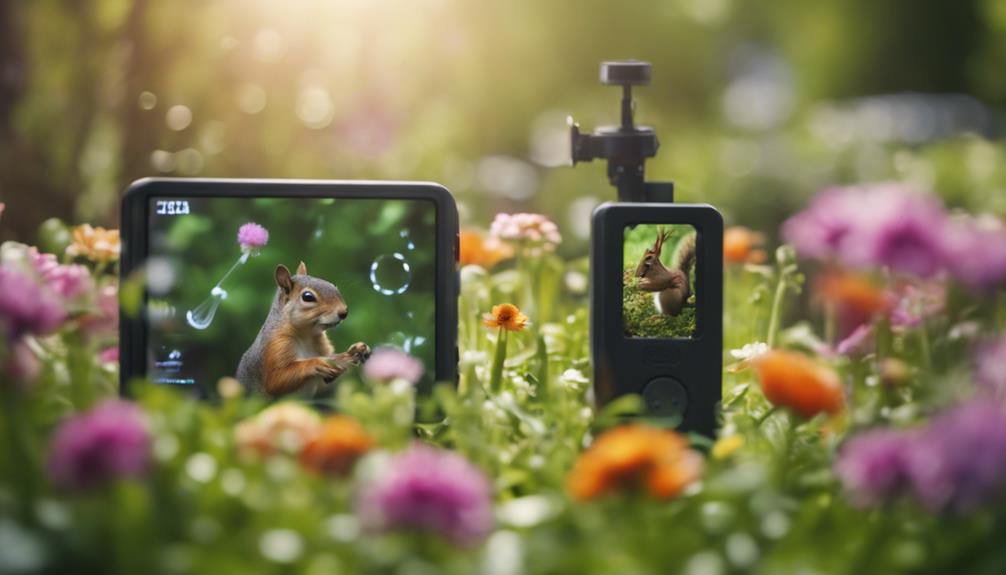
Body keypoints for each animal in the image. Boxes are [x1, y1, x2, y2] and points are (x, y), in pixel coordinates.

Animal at [237, 263, 372, 398]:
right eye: (308, 297)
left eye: (333, 285)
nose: (344, 312)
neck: (306, 335)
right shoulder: (275, 346)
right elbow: (275, 381)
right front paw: (319, 363)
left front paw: (355, 351)